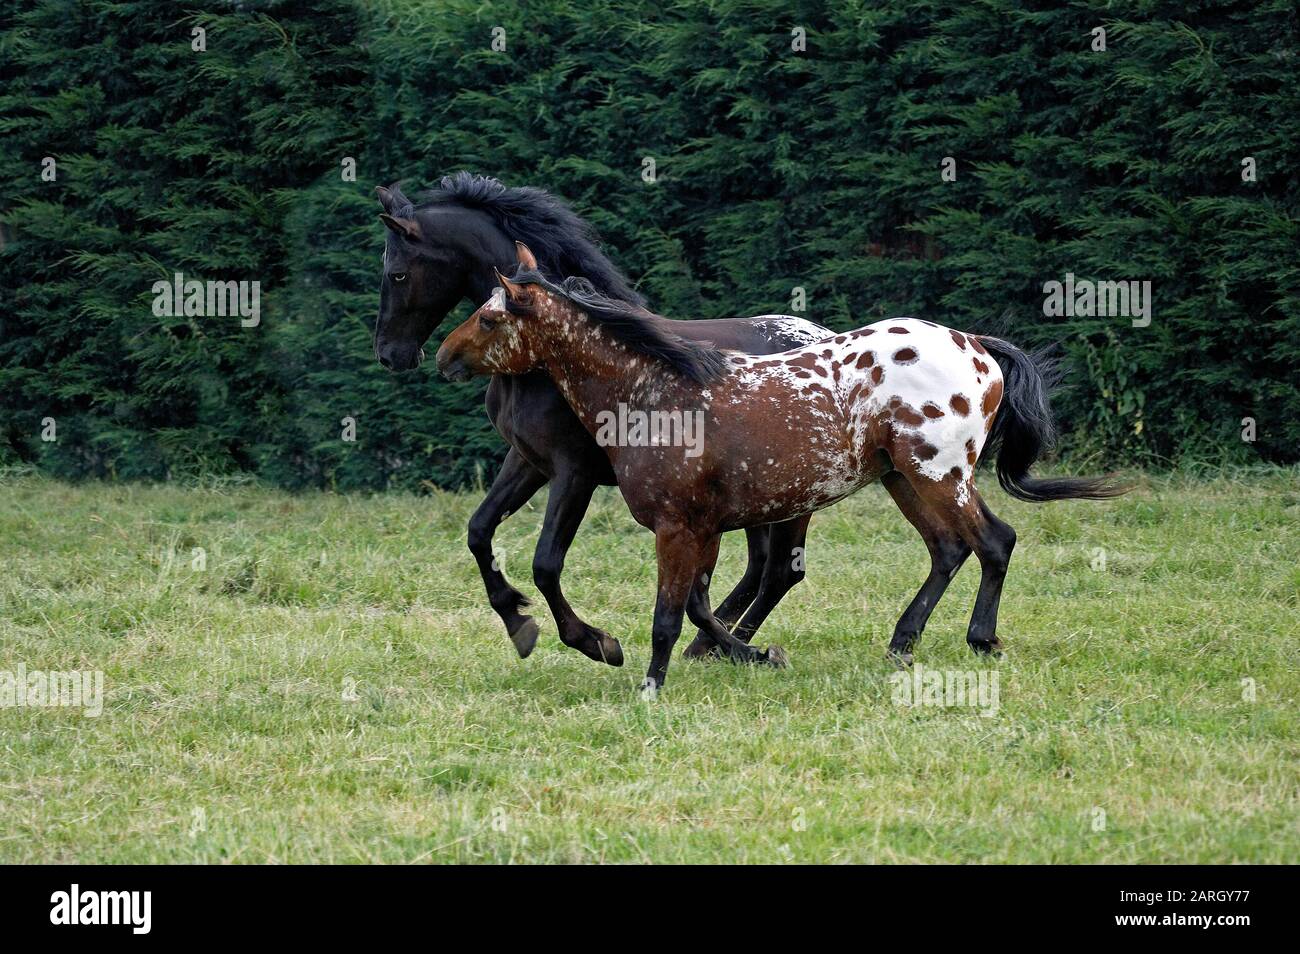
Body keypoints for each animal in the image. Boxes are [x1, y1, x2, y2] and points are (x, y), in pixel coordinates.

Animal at [371, 174, 826, 665]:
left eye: (397, 273)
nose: (391, 354)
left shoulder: (575, 471)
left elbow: (546, 563)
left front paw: (595, 642)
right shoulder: (527, 461)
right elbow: (479, 531)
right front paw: (517, 621)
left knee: (780, 571)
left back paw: (721, 646)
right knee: (760, 568)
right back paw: (712, 644)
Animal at [439, 246, 1128, 696]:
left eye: (491, 317)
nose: (443, 357)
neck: (654, 394)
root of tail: (977, 348)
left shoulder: (673, 524)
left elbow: (668, 614)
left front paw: (646, 683)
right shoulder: (703, 527)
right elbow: (699, 607)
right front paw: (755, 655)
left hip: (938, 474)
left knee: (992, 540)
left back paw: (980, 639)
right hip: (902, 479)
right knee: (948, 549)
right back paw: (902, 643)